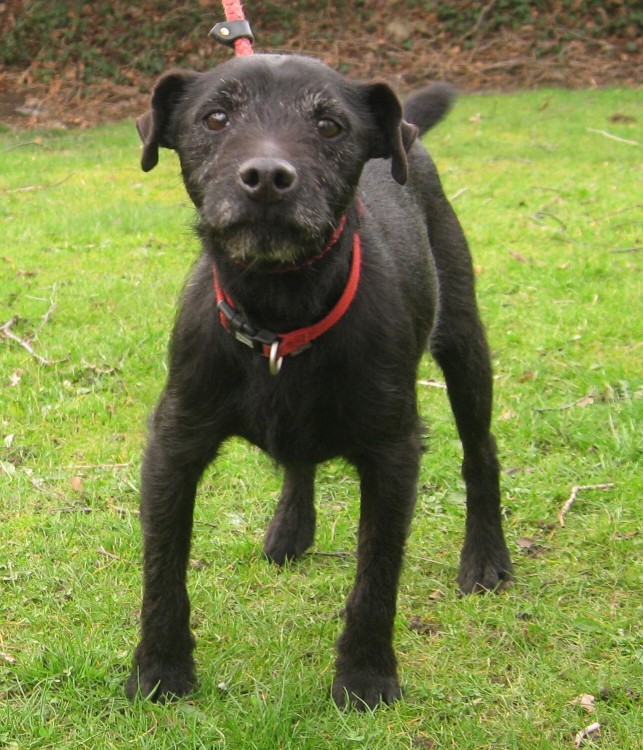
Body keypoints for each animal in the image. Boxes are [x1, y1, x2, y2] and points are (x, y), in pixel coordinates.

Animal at [127, 53, 512, 712]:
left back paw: (486, 559)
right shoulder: (174, 444)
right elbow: (163, 569)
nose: (266, 176)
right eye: (216, 117)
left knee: (480, 452)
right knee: (299, 459)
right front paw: (160, 668)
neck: (281, 310)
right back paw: (290, 529)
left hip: (463, 340)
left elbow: (376, 574)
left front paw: (365, 675)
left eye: (330, 126)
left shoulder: (393, 453)